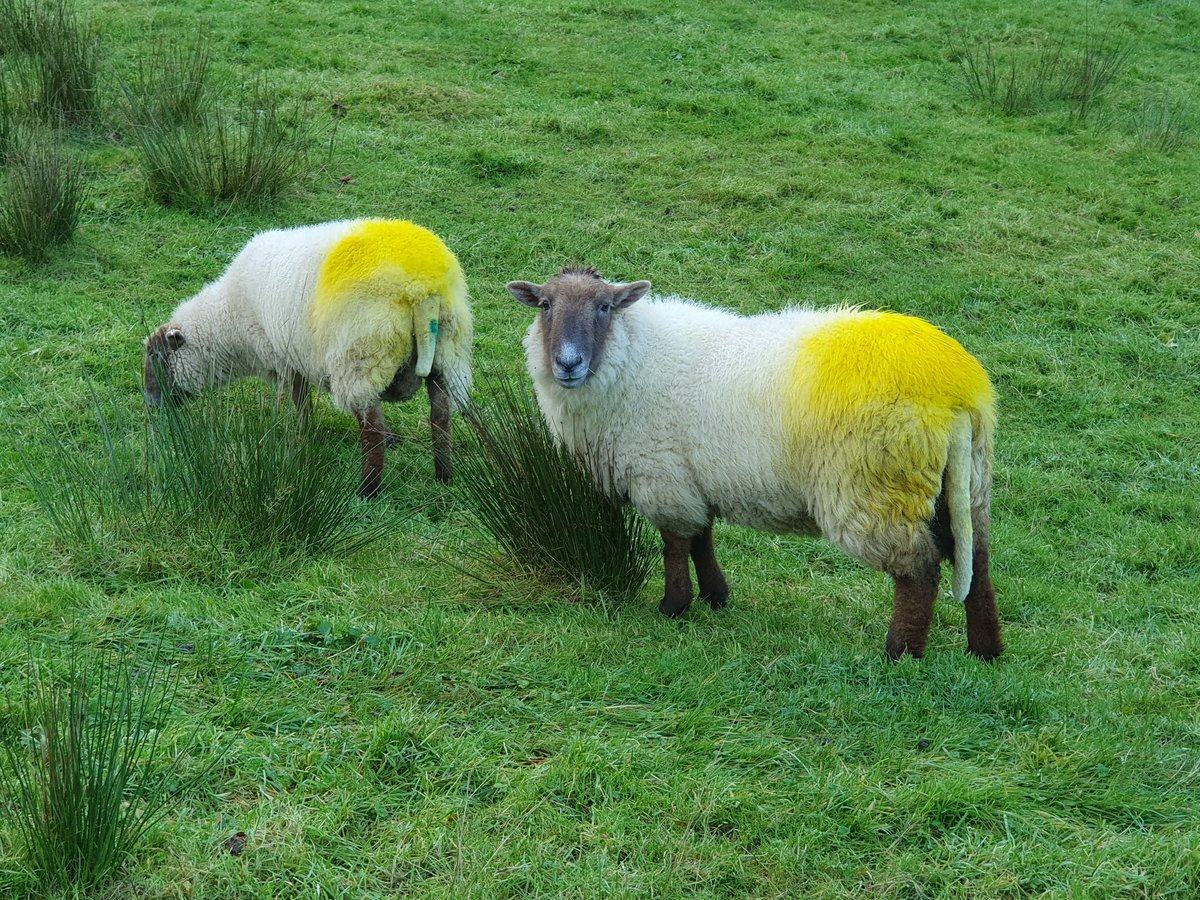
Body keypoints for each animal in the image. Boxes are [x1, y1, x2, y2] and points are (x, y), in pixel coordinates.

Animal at [142, 219, 470, 501]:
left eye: (157, 357)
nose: (150, 404)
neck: (229, 317)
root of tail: (420, 288)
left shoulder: (285, 357)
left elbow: (301, 405)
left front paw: (300, 439)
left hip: (360, 357)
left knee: (372, 430)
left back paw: (367, 491)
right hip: (447, 353)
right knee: (440, 418)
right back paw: (444, 477)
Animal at [506, 267, 1003, 662]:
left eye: (605, 306)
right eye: (545, 305)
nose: (568, 363)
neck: (632, 357)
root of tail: (957, 392)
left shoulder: (662, 478)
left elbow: (675, 545)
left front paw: (673, 606)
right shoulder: (691, 479)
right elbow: (701, 538)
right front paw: (716, 597)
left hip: (874, 489)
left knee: (919, 570)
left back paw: (900, 653)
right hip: (963, 482)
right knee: (977, 561)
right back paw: (986, 651)